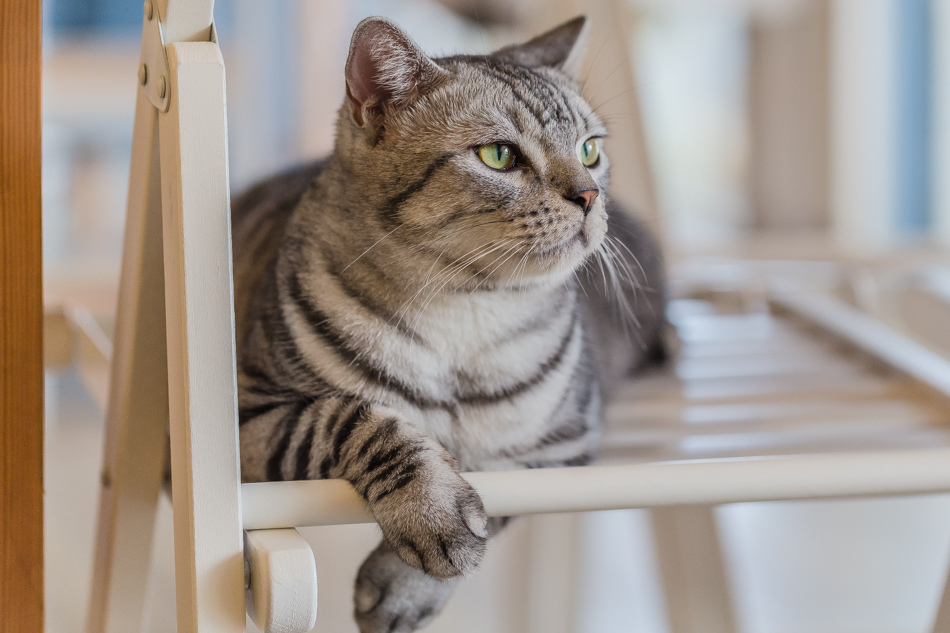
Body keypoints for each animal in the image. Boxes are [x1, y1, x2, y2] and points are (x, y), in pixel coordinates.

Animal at [234, 13, 664, 632]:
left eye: (589, 150)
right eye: (500, 156)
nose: (588, 196)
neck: (464, 313)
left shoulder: (560, 446)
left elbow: (500, 489)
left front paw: (402, 586)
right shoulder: (252, 420)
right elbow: (355, 419)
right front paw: (432, 512)